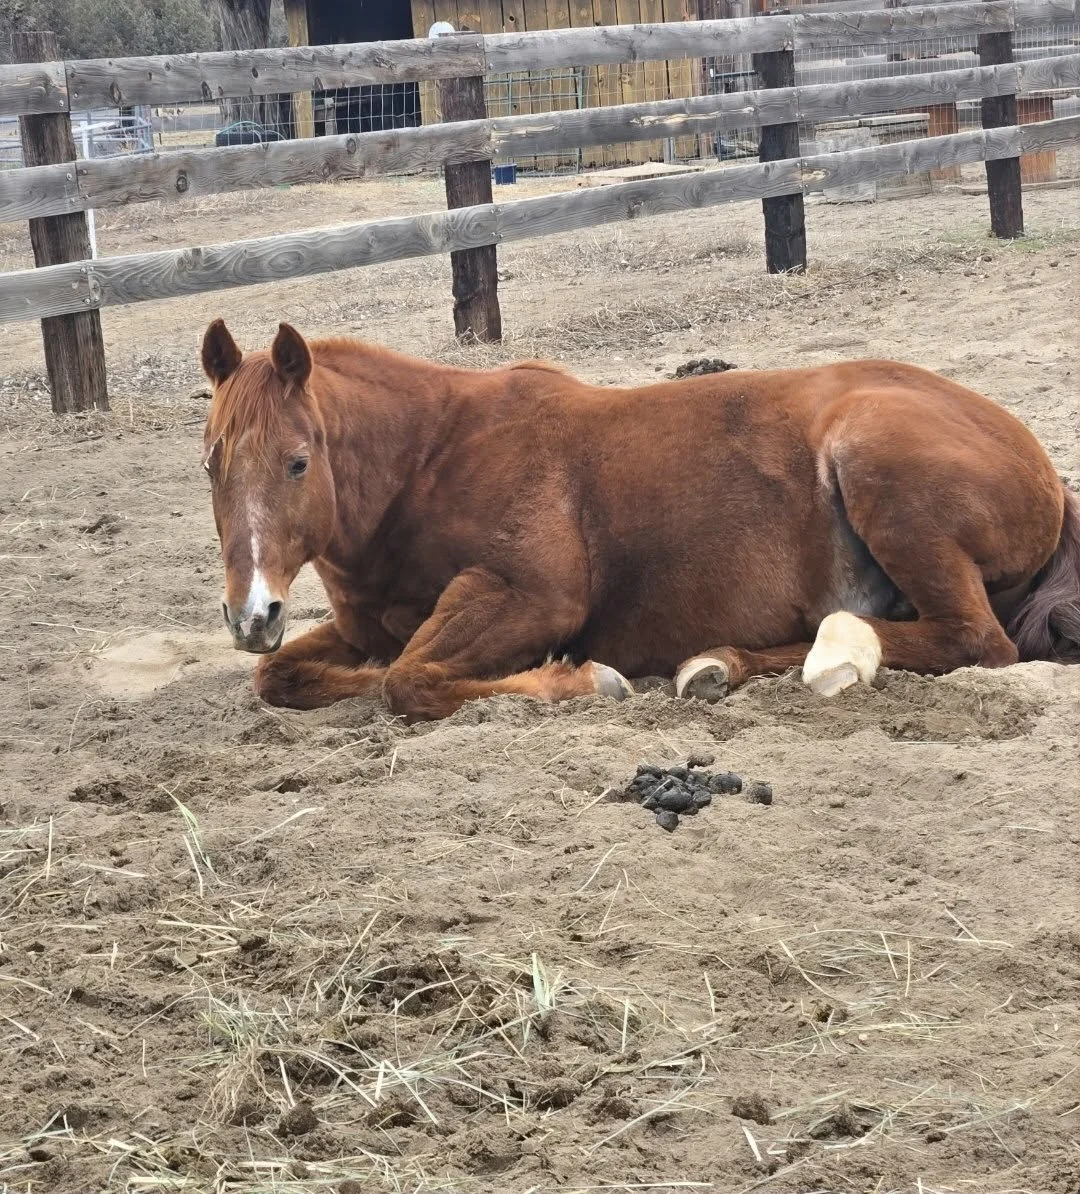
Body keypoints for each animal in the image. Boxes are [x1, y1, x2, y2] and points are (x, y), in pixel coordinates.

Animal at [199, 319, 1080, 723]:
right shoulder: (363, 627)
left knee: (972, 640)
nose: (252, 615)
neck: (429, 462)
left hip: (879, 469)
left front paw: (581, 677)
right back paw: (716, 663)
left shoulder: (529, 596)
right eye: (210, 463)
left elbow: (410, 679)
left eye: (297, 463)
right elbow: (288, 677)